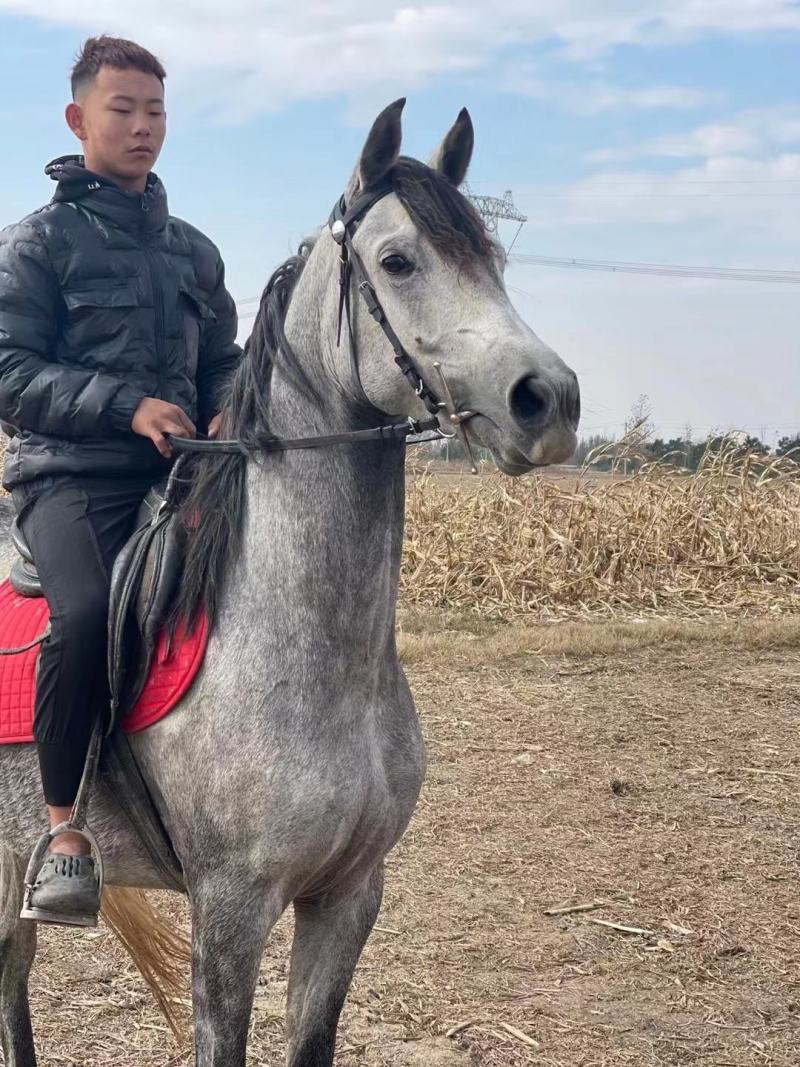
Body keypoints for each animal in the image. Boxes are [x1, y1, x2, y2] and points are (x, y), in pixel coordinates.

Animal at [0, 99, 580, 1066]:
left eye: (494, 261)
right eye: (399, 260)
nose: (550, 399)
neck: (304, 647)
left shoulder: (348, 896)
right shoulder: (230, 914)